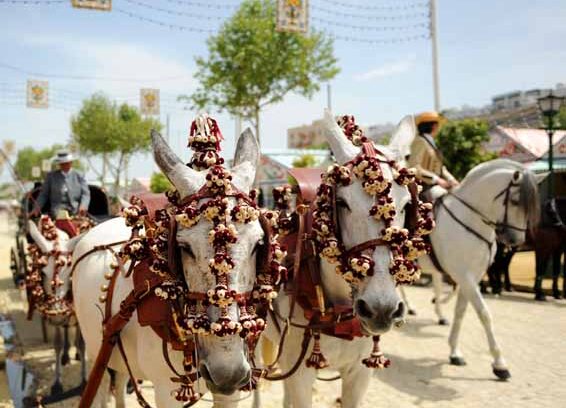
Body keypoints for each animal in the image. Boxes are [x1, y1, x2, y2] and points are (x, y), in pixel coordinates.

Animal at [26, 220, 86, 396]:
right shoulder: (53, 315)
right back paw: (66, 355)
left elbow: (81, 344)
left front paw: (83, 380)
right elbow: (57, 344)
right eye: (43, 272)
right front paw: (57, 382)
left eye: (70, 272)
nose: (58, 315)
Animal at [74, 126, 268, 404]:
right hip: (92, 349)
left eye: (258, 244)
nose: (227, 373)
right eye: (184, 247)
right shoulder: (166, 390)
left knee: (120, 380)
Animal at [402, 159, 540, 380]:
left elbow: (460, 312)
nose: (516, 241)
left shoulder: (470, 277)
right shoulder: (465, 277)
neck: (470, 219)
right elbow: (484, 314)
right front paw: (500, 364)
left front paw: (454, 352)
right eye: (515, 201)